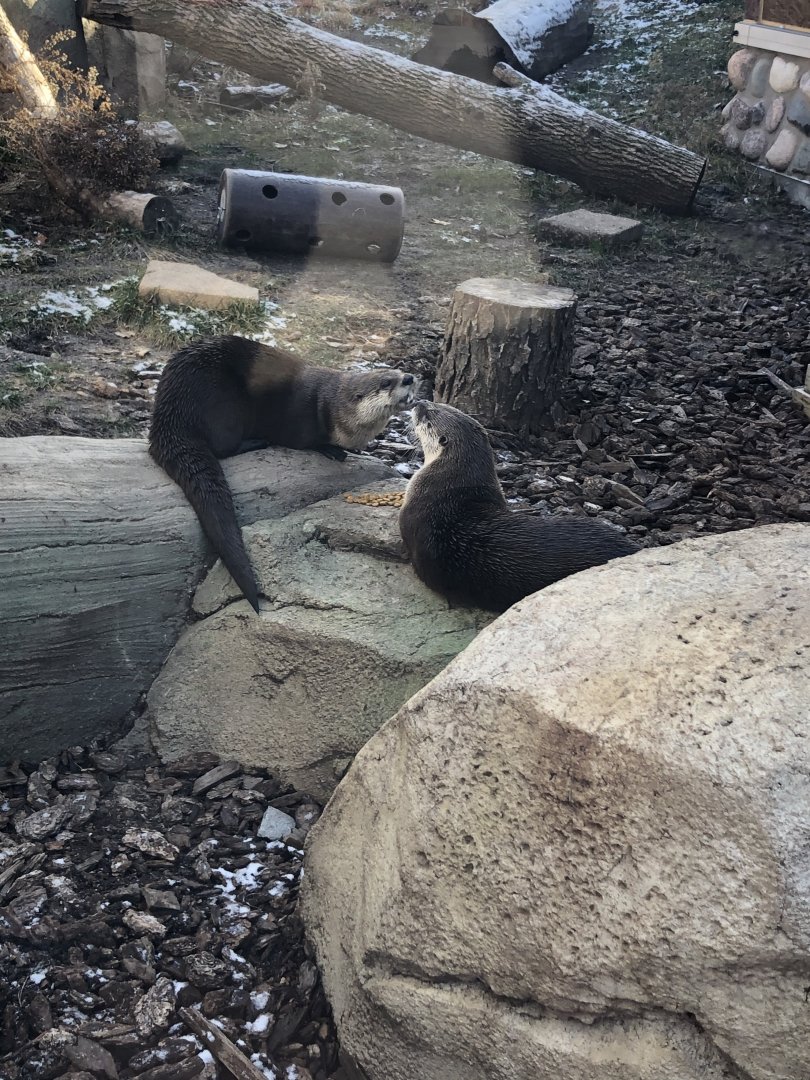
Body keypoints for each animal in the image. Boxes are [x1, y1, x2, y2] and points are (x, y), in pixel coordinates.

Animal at [149, 334, 416, 612]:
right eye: (386, 382)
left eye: (398, 372)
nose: (409, 377)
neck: (332, 411)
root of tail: (170, 413)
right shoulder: (301, 419)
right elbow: (305, 442)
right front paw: (331, 450)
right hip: (223, 403)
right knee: (222, 447)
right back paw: (256, 442)